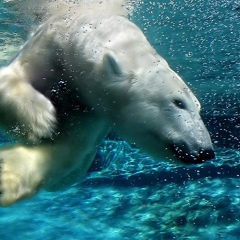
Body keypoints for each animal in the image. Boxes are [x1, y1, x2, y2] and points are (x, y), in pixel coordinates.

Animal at [0, 0, 214, 206]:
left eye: (198, 107)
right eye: (178, 102)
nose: (206, 151)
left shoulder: (93, 109)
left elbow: (69, 148)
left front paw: (6, 176)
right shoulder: (49, 47)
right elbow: (11, 76)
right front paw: (41, 119)